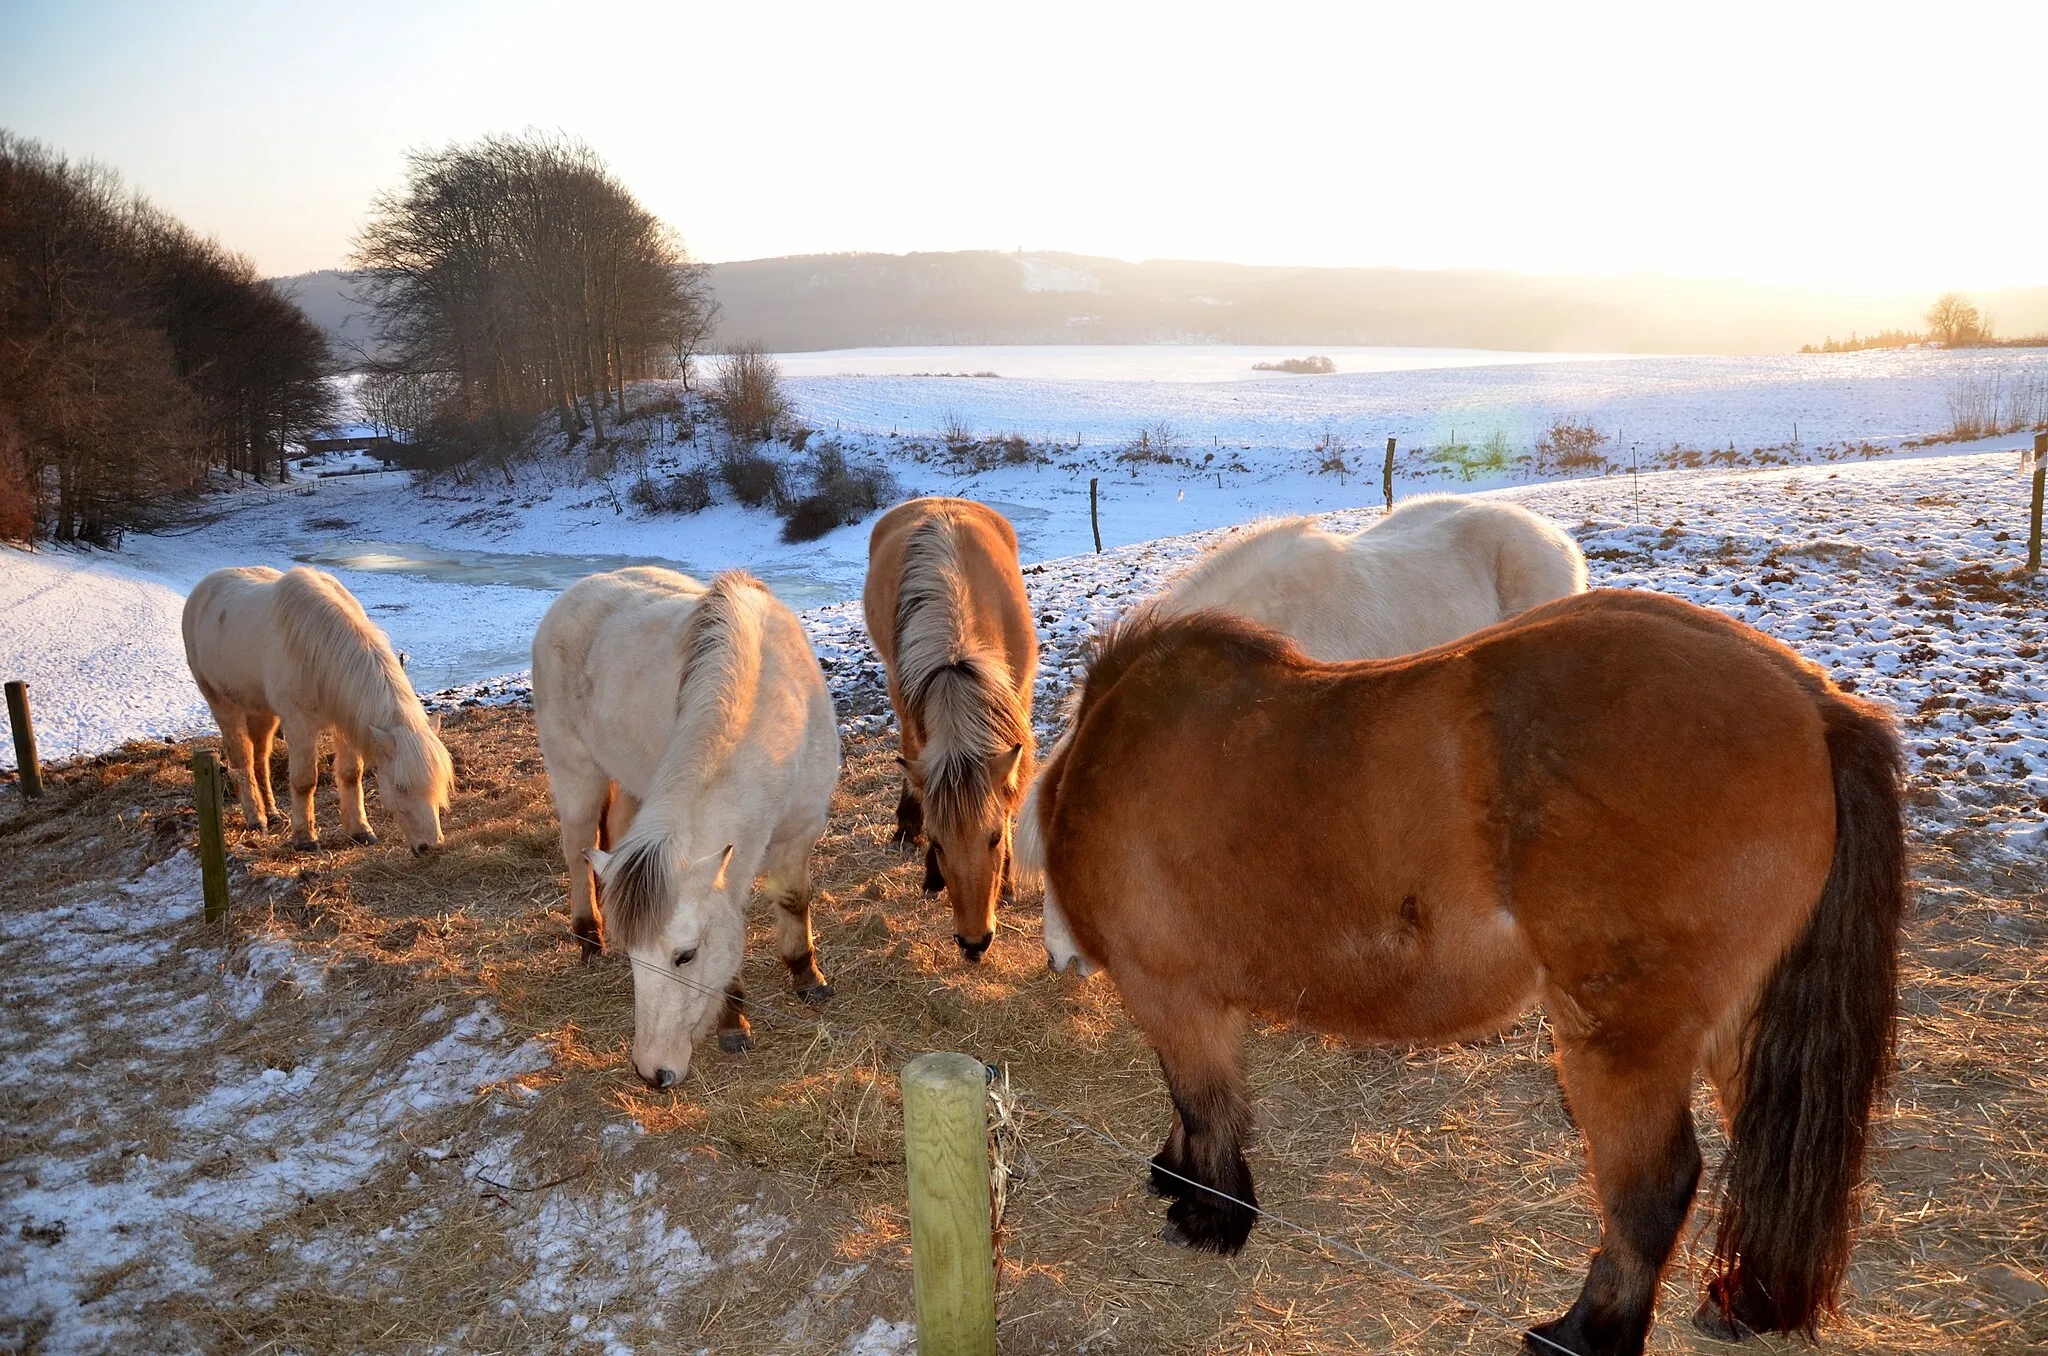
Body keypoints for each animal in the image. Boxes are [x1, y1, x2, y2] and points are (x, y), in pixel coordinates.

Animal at [183, 569, 452, 856]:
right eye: (401, 787)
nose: (430, 846)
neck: (316, 646)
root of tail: (202, 589)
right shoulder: (298, 724)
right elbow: (304, 781)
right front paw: (305, 838)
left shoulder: (344, 722)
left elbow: (351, 774)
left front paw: (361, 830)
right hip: (223, 705)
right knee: (242, 759)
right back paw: (257, 818)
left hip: (262, 712)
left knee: (260, 757)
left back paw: (273, 813)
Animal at [536, 565, 847, 1097]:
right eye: (634, 959)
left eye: (686, 956)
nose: (652, 1073)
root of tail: (574, 593)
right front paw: (732, 1022)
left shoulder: (801, 830)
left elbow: (793, 899)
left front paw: (807, 976)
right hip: (576, 774)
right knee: (577, 847)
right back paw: (588, 935)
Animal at [860, 493, 1032, 962]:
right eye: (938, 843)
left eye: (995, 837)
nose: (974, 943)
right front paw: (930, 874)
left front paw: (1008, 882)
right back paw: (905, 824)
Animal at [1032, 594, 1908, 1356]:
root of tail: (1811, 703)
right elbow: (1198, 1104)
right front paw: (1176, 1172)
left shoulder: (1172, 993)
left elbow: (1203, 1103)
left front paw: (1209, 1215)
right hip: (1736, 1032)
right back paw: (1746, 1303)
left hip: (1623, 1040)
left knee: (1654, 1187)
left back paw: (1585, 1335)